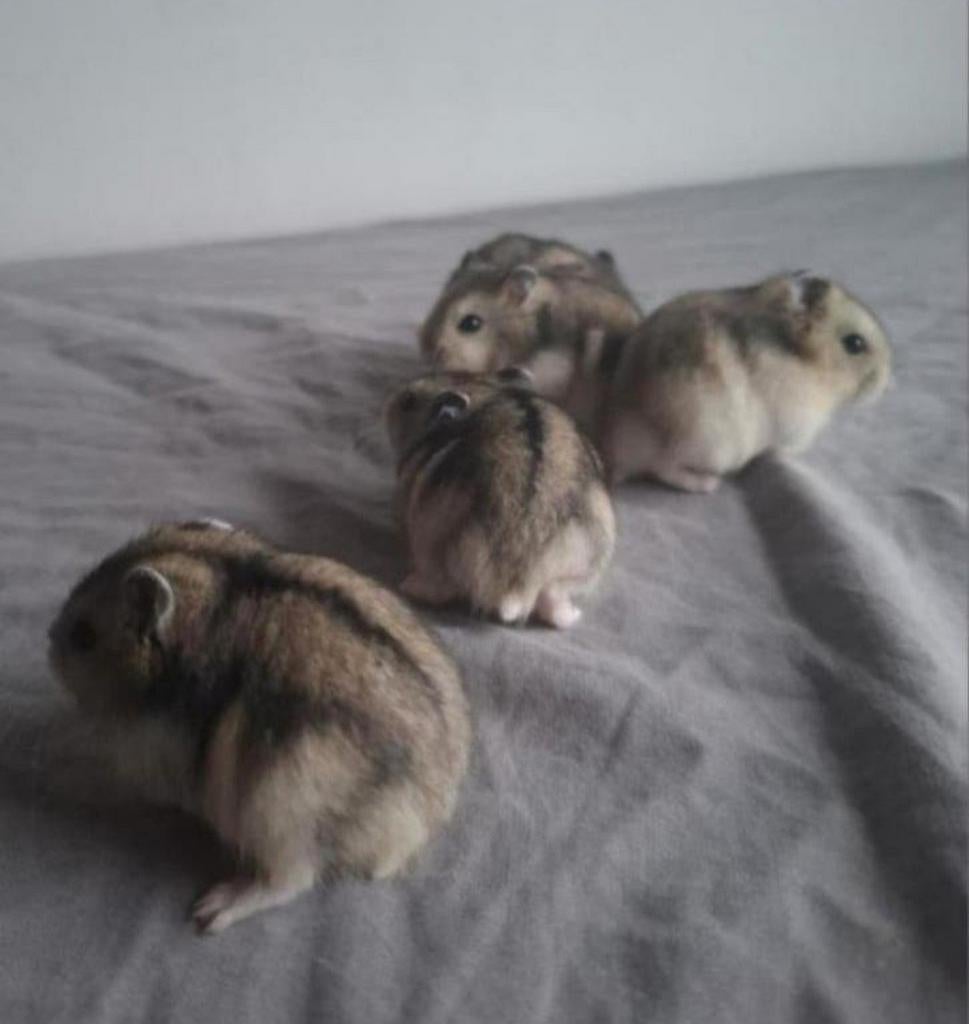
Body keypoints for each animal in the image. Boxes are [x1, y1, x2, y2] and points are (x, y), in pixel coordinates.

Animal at [47, 519, 470, 933]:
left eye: (83, 636)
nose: (49, 643)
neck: (216, 597)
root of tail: (425, 814)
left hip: (282, 808)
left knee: (291, 880)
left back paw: (213, 910)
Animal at [385, 368, 615, 628]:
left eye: (408, 402)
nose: (388, 404)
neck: (487, 392)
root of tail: (517, 587)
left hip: (432, 546)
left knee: (440, 588)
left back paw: (407, 585)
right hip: (583, 565)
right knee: (554, 604)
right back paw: (574, 615)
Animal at [599, 271, 893, 491]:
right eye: (854, 344)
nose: (885, 384)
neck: (805, 363)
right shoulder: (795, 428)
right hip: (709, 445)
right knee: (664, 469)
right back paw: (709, 484)